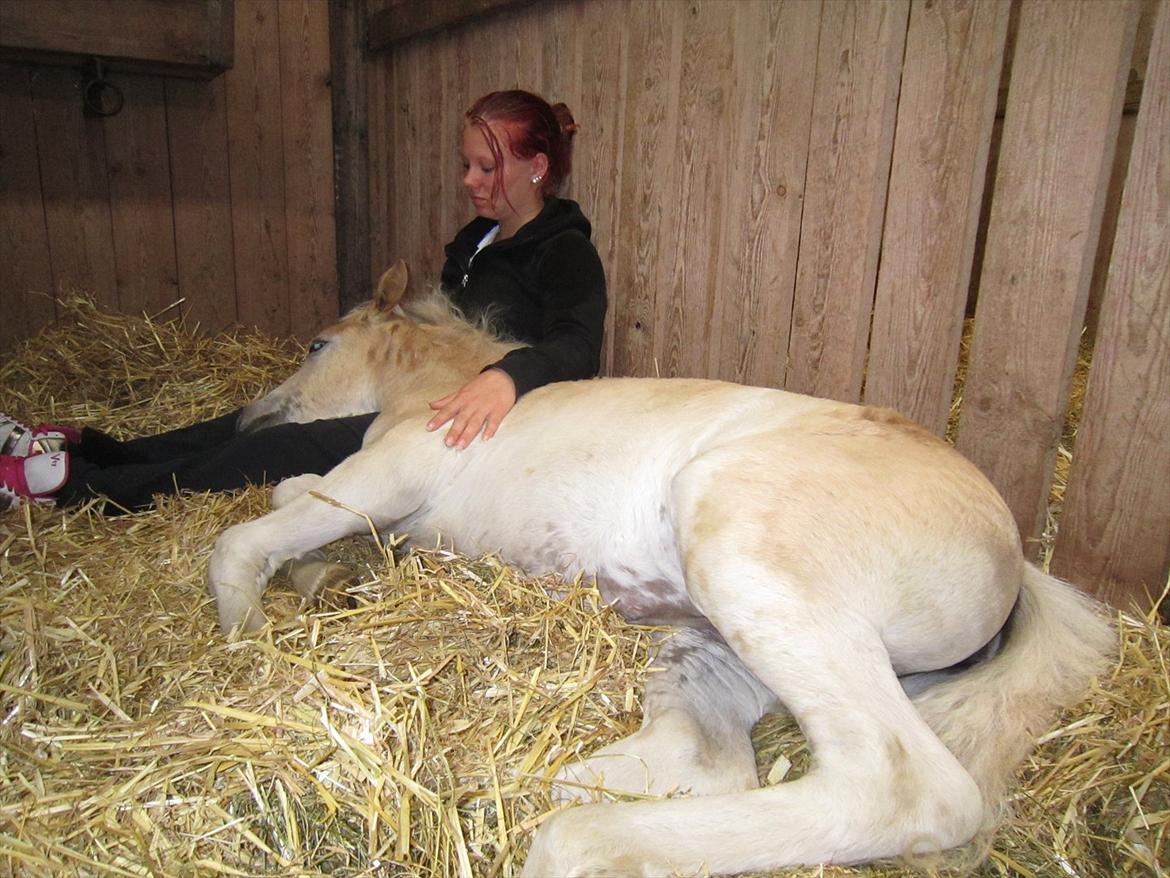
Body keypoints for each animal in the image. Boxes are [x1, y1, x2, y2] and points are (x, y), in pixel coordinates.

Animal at [205, 264, 1109, 875]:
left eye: (318, 343)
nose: (248, 421)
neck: (444, 390)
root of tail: (1013, 562)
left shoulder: (384, 481)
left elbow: (247, 539)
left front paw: (251, 636)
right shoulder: (376, 500)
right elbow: (292, 497)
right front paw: (323, 578)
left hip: (744, 550)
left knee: (902, 785)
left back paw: (573, 840)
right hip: (723, 634)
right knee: (708, 758)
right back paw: (552, 788)